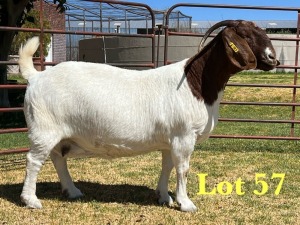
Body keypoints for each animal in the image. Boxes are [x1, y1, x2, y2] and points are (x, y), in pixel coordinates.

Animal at [19, 20, 278, 212]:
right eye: (245, 35)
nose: (272, 58)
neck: (196, 83)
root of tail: (36, 77)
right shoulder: (184, 136)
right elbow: (183, 168)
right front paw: (186, 204)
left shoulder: (169, 139)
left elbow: (167, 166)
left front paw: (164, 197)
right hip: (44, 128)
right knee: (34, 160)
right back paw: (31, 200)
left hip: (58, 132)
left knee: (58, 158)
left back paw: (72, 191)